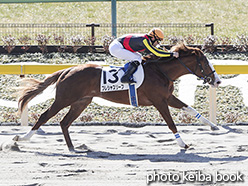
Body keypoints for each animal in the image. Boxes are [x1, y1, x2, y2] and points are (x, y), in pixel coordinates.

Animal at [14, 43, 221, 151]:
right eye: (205, 63)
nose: (217, 80)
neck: (161, 71)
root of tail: (67, 70)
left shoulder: (168, 98)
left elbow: (191, 109)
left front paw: (214, 126)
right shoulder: (159, 101)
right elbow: (171, 123)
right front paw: (183, 144)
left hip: (81, 102)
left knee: (64, 122)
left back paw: (72, 147)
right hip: (64, 99)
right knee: (45, 116)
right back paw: (22, 138)